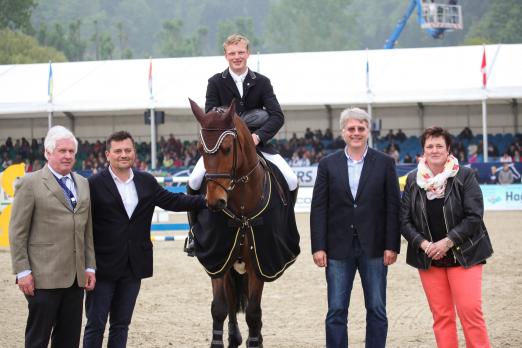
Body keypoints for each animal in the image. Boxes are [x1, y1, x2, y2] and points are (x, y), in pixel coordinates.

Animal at [189, 98, 298, 348]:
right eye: (200, 149)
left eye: (228, 149)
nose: (215, 202)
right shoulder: (218, 257)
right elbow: (219, 308)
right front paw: (219, 341)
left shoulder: (260, 261)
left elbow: (253, 312)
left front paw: (255, 341)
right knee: (230, 301)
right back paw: (234, 336)